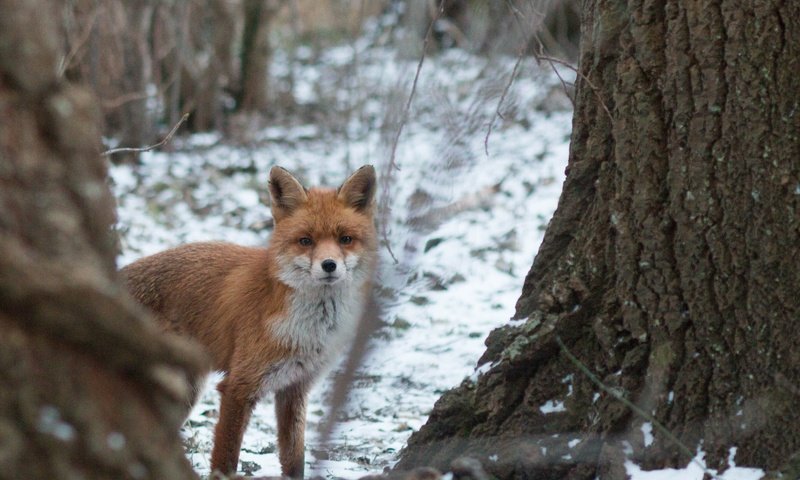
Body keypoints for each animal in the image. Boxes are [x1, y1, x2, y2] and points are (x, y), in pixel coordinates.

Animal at [122, 164, 378, 476]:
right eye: (305, 241)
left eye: (345, 239)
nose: (329, 265)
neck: (309, 331)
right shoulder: (238, 386)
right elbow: (225, 461)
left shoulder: (295, 387)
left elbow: (294, 459)